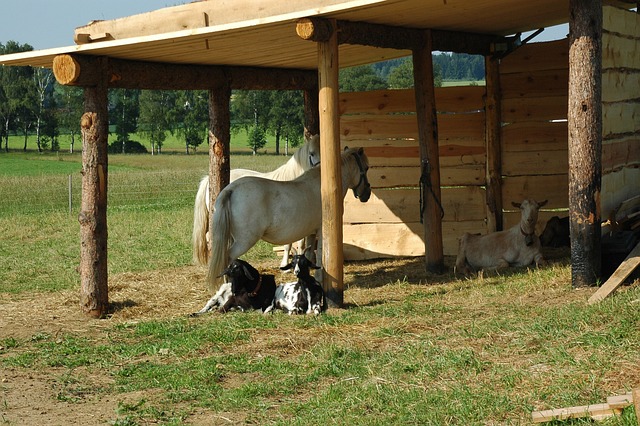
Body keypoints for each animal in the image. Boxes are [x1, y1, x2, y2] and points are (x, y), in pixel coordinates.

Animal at [208, 146, 372, 290]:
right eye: (367, 168)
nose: (367, 194)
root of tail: (231, 189)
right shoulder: (321, 231)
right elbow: (320, 255)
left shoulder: (311, 233)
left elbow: (308, 253)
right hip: (244, 241)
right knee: (228, 258)